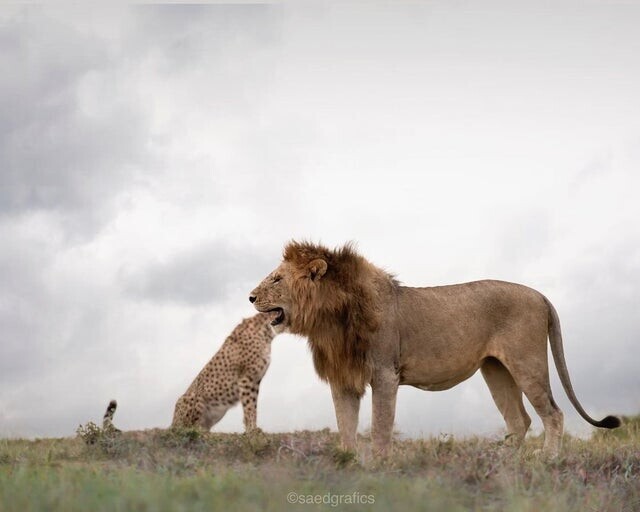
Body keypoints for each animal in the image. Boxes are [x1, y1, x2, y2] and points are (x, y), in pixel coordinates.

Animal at [250, 240, 620, 456]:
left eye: (277, 279)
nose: (251, 297)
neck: (330, 319)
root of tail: (541, 295)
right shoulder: (344, 381)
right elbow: (346, 428)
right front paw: (348, 463)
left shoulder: (385, 374)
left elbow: (380, 427)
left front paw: (378, 468)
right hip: (495, 369)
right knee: (519, 421)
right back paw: (504, 464)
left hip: (526, 363)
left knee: (553, 414)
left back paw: (547, 462)